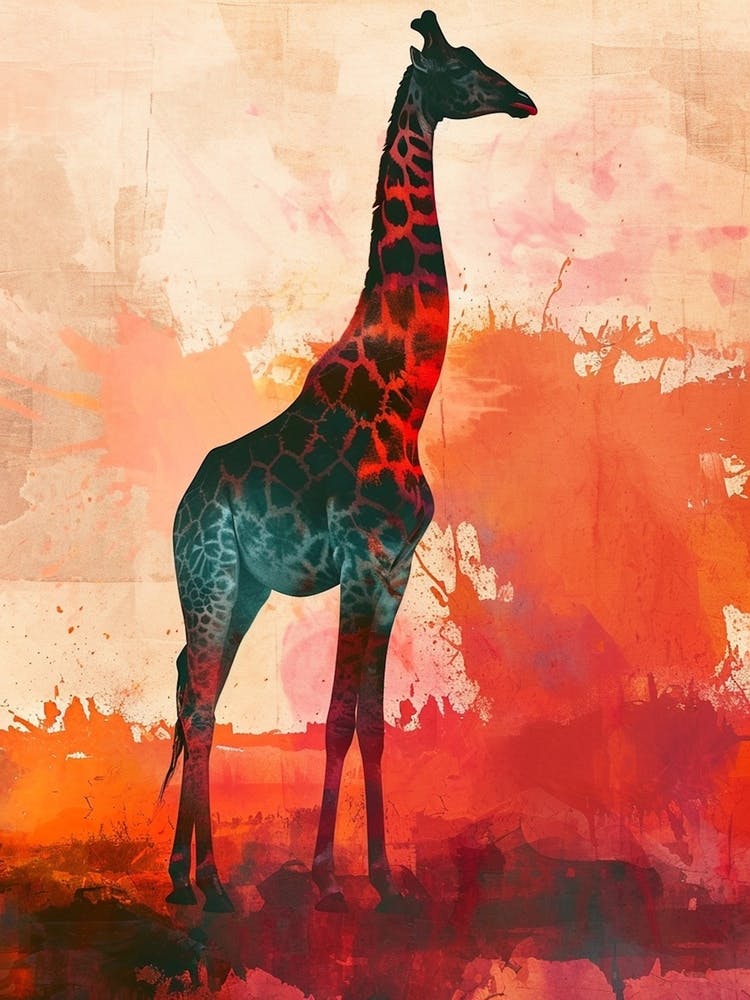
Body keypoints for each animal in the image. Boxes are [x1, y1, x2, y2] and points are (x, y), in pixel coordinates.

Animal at [161, 9, 536, 914]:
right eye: (461, 67)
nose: (524, 99)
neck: (406, 394)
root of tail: (184, 503)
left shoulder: (395, 568)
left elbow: (369, 721)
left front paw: (383, 875)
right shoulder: (362, 559)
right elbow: (332, 717)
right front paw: (328, 877)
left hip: (246, 586)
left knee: (197, 691)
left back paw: (185, 876)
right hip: (210, 572)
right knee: (201, 706)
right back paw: (211, 885)